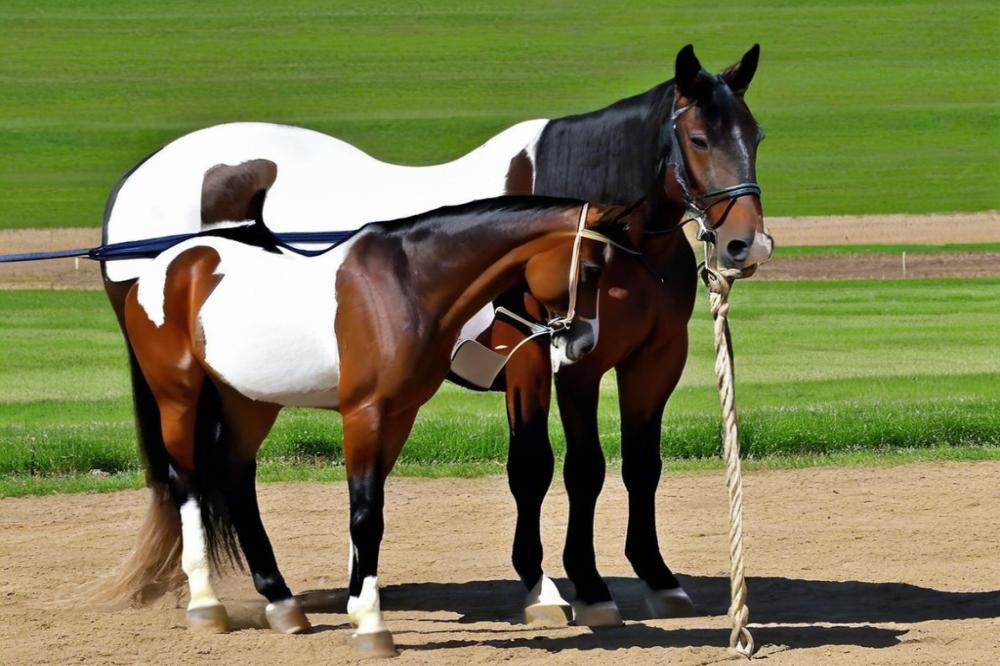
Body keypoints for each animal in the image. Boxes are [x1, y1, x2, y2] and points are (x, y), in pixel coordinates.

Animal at [113, 193, 628, 652]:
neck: (404, 286)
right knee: (188, 482)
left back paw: (282, 602)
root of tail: (169, 265)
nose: (584, 344)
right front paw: (372, 625)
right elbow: (365, 515)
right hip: (179, 399)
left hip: (249, 402)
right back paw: (206, 605)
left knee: (235, 478)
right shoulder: (365, 414)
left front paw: (359, 603)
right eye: (592, 269)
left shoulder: (399, 415)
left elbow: (369, 510)